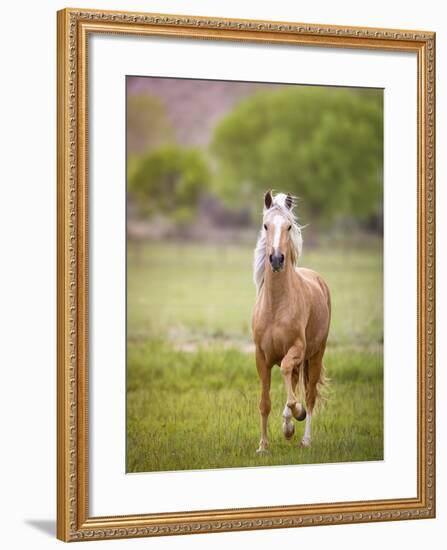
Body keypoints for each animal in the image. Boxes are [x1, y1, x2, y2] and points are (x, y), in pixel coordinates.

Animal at [254, 192, 330, 454]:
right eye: (265, 225)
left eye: (288, 226)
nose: (277, 259)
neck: (276, 307)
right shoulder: (261, 357)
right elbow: (265, 403)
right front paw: (263, 446)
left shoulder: (297, 349)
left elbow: (287, 372)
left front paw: (297, 412)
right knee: (295, 384)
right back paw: (288, 428)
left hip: (315, 355)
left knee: (309, 394)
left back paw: (304, 437)